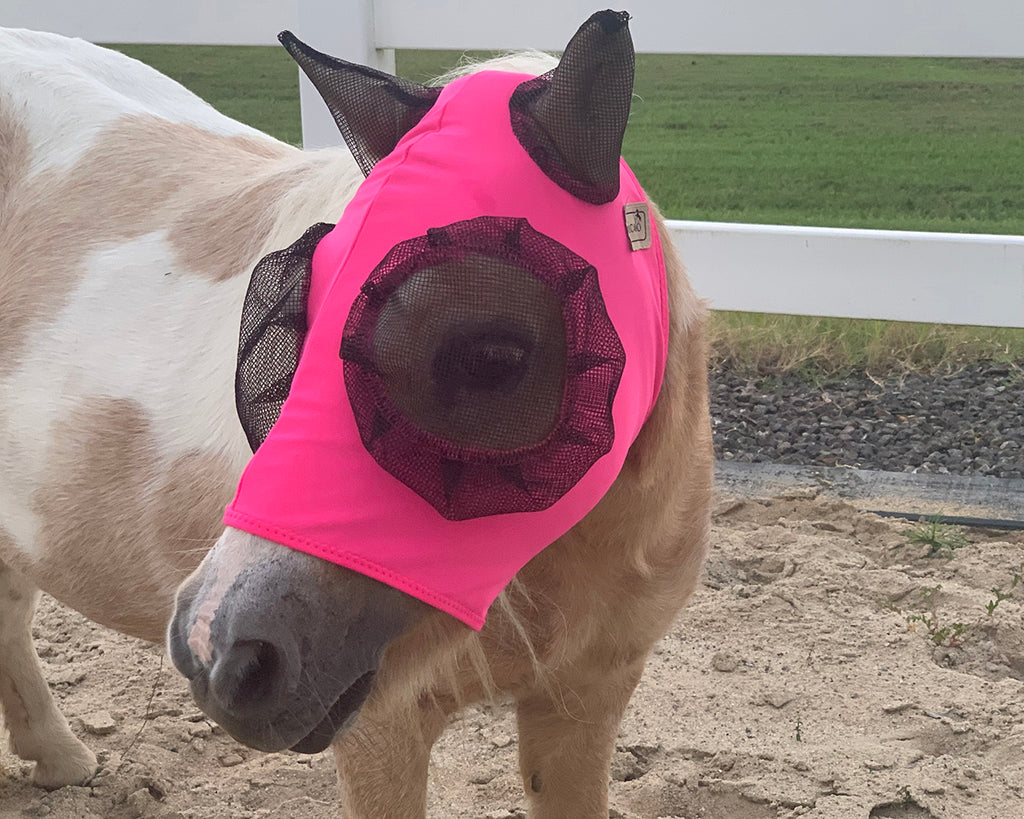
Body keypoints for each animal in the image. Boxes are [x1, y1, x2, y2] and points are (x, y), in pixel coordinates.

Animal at [0, 9, 712, 814]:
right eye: (286, 323)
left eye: (493, 357)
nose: (218, 652)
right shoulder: (383, 728)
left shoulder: (585, 699)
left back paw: (58, 756)